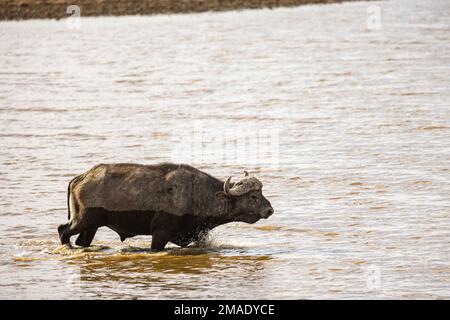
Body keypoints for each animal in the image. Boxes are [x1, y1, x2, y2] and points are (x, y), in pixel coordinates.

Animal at [56, 164, 274, 251]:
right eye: (254, 196)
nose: (269, 210)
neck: (197, 195)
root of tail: (82, 177)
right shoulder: (160, 232)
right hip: (83, 219)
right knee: (62, 230)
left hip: (91, 226)